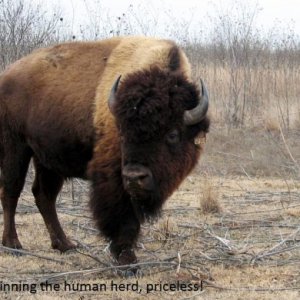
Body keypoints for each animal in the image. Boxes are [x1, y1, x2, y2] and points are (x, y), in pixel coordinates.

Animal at [0, 37, 209, 268]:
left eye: (172, 134)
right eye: (122, 132)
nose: (135, 177)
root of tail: (6, 75)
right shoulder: (113, 178)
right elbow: (123, 218)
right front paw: (127, 260)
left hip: (46, 159)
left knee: (44, 195)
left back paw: (65, 245)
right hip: (14, 147)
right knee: (11, 190)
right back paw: (13, 244)